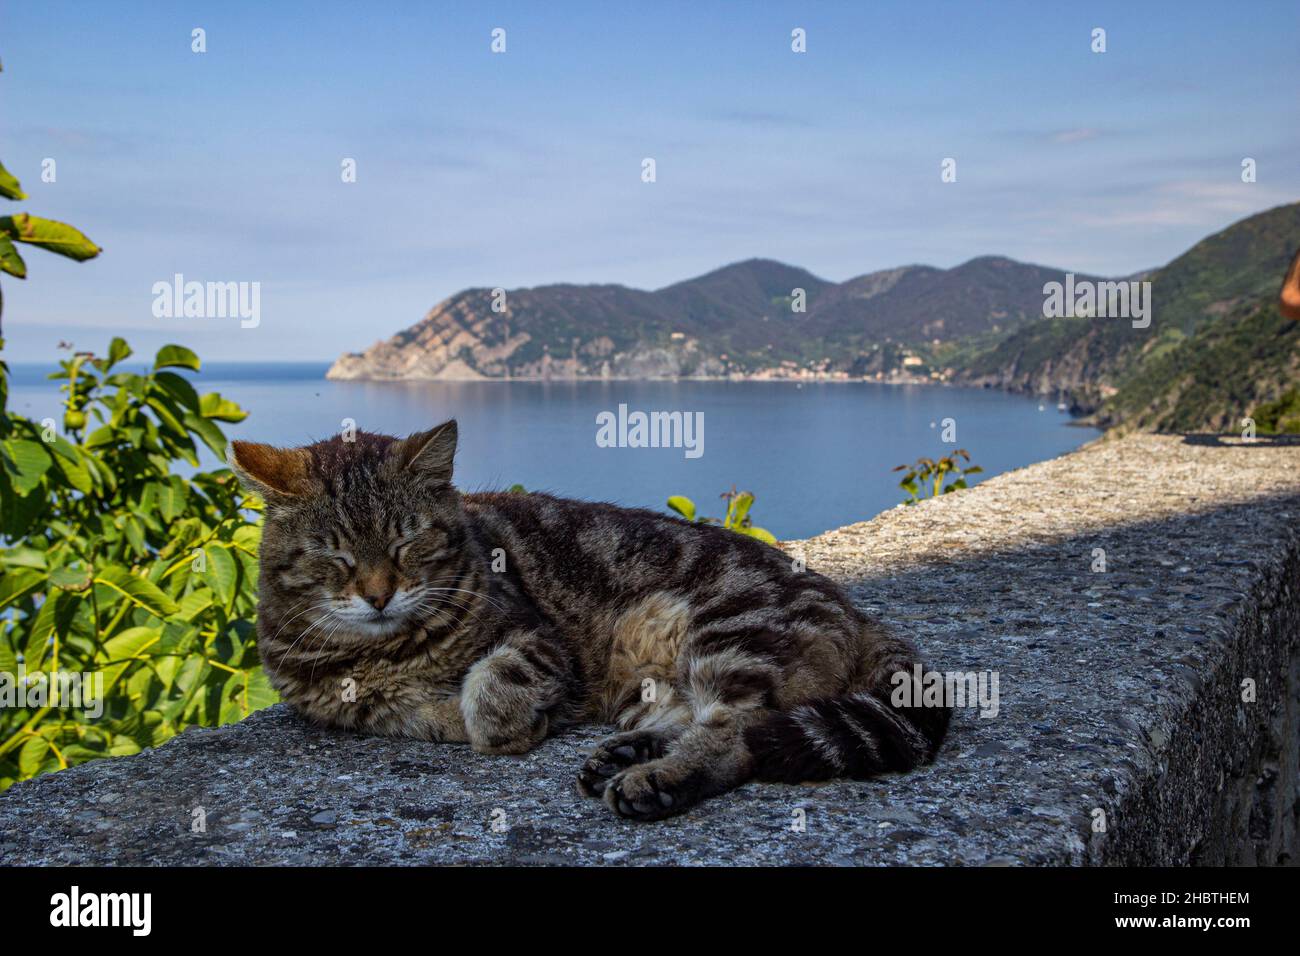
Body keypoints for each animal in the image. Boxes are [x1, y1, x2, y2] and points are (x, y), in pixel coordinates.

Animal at [228, 421, 951, 822]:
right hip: (651, 681)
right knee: (696, 718)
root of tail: (852, 607)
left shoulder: (540, 641)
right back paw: (626, 754)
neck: (385, 651)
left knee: (736, 731)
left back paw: (657, 779)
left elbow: (488, 689)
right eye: (335, 553)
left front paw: (509, 720)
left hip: (730, 635)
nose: (379, 594)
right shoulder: (356, 707)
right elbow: (424, 713)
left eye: (408, 542)